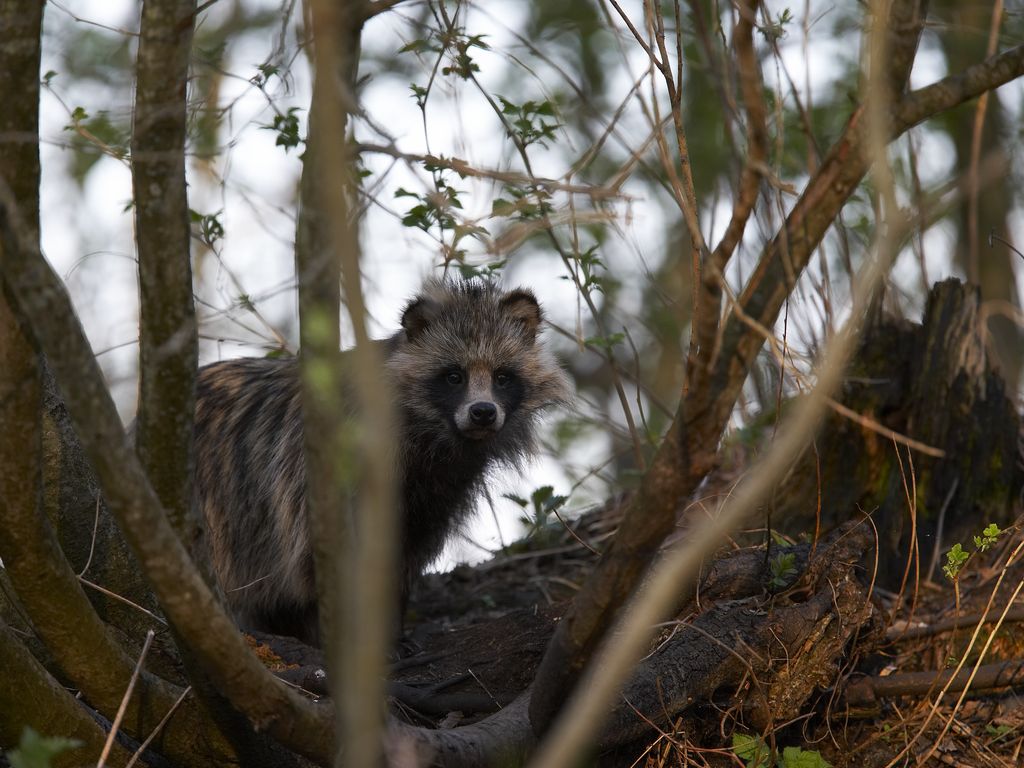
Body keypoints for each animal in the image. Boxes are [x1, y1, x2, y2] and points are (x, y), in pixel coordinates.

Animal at [193, 280, 569, 647]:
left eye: (502, 376)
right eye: (454, 376)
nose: (483, 412)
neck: (434, 437)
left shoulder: (433, 494)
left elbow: (403, 554)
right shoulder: (326, 469)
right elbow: (324, 556)